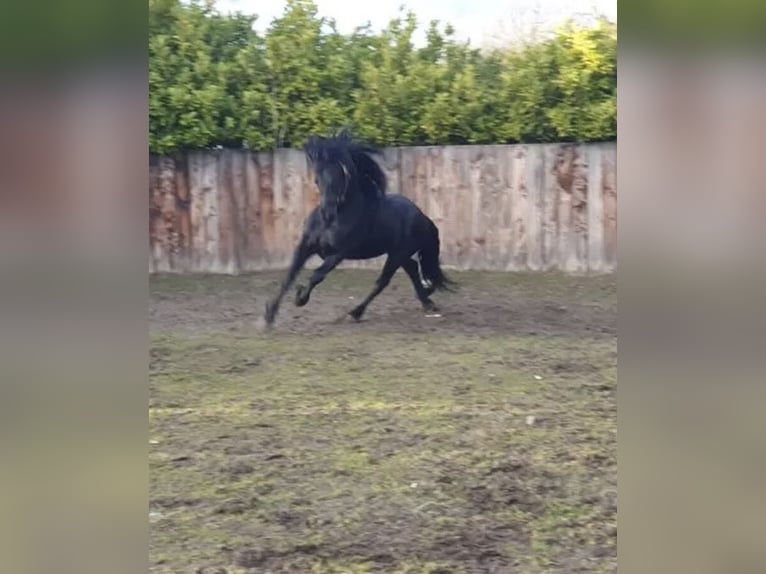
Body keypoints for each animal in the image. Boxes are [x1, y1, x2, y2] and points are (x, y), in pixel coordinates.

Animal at [263, 130, 454, 326]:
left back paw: (356, 312)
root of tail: (422, 217)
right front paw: (269, 315)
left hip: (397, 255)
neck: (330, 222)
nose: (329, 208)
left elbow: (317, 275)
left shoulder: (338, 254)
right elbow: (290, 275)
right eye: (318, 174)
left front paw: (300, 298)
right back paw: (427, 302)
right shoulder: (305, 246)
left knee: (382, 282)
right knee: (413, 269)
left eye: (342, 172)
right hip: (398, 253)